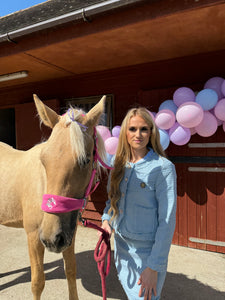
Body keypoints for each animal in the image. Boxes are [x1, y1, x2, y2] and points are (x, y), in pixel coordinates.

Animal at [0, 95, 107, 298]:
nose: (51, 239)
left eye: (86, 160)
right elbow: (37, 283)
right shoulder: (34, 236)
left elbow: (71, 270)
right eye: (44, 160)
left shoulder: (69, 233)